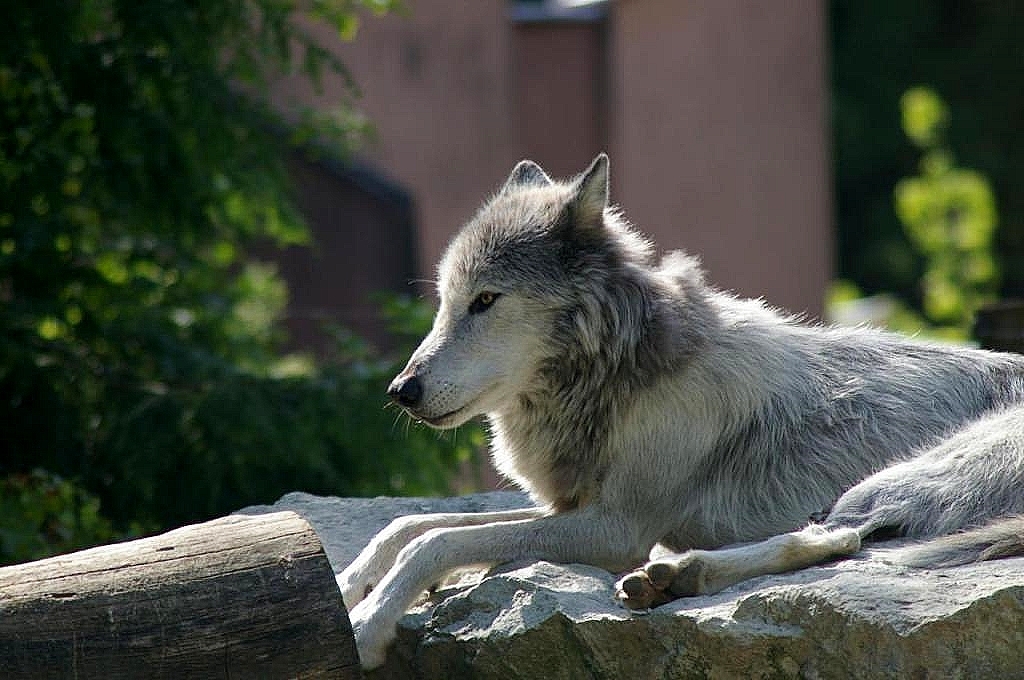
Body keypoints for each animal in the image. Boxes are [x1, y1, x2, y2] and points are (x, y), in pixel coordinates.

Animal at [339, 153, 1024, 667]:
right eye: (444, 302)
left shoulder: (615, 528)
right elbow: (413, 525)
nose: (401, 390)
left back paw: (677, 575)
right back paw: (670, 579)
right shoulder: (575, 506)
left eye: (485, 301)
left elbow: (439, 540)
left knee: (842, 538)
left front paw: (367, 623)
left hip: (891, 479)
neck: (621, 374)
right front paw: (349, 584)